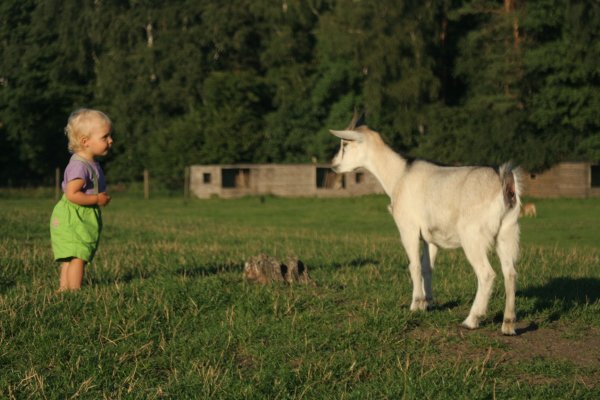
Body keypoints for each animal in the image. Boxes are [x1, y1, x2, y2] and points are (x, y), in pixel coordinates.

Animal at [330, 115, 524, 334]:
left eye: (345, 144)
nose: (333, 165)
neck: (399, 175)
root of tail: (504, 183)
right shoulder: (430, 237)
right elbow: (427, 267)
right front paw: (428, 303)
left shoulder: (408, 228)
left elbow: (413, 265)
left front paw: (416, 304)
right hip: (508, 232)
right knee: (510, 273)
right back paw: (508, 324)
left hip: (473, 236)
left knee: (487, 274)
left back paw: (472, 319)